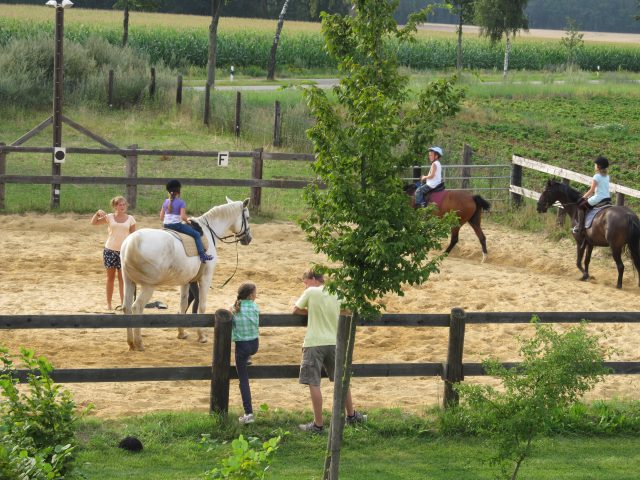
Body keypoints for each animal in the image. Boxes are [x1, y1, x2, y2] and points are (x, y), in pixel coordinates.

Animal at [120, 197, 252, 350]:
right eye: (247, 217)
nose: (248, 239)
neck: (208, 231)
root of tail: (132, 241)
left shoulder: (186, 281)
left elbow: (183, 305)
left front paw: (181, 333)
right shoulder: (205, 278)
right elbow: (202, 305)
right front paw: (201, 336)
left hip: (128, 282)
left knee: (126, 307)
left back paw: (130, 342)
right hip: (148, 286)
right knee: (137, 307)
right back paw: (139, 343)